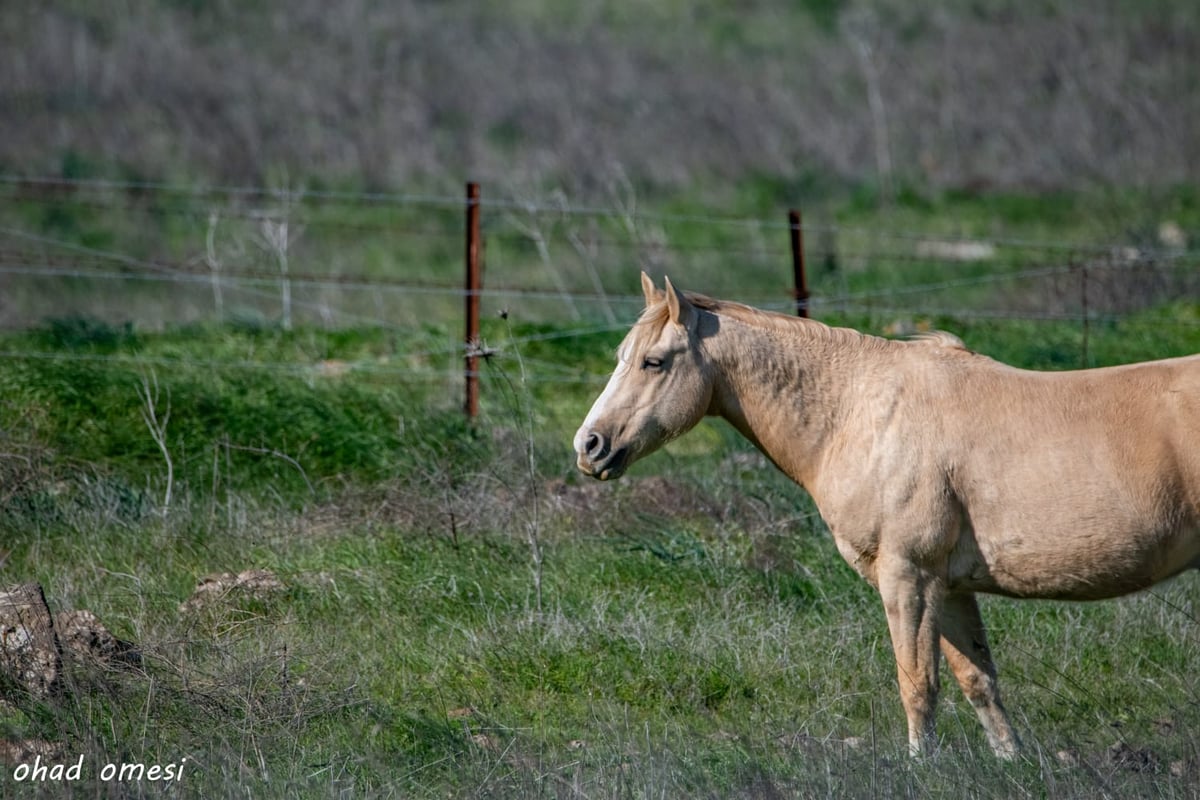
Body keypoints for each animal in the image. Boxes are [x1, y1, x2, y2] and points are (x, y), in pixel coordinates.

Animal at [573, 273, 1200, 758]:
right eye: (622, 358)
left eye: (654, 361)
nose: (589, 445)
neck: (861, 413)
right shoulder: (950, 587)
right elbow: (978, 681)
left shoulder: (907, 577)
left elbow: (917, 684)